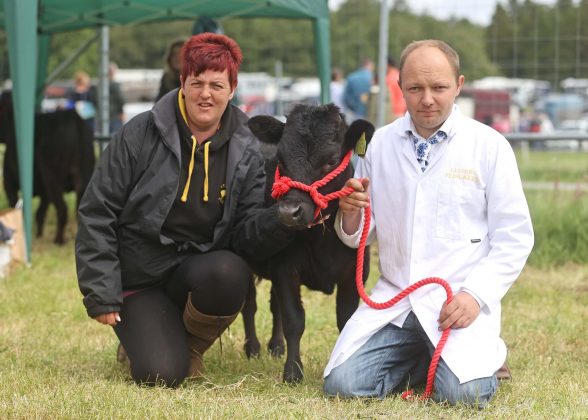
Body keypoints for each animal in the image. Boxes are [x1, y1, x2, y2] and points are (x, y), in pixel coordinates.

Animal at [0, 90, 95, 244]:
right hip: (83, 179)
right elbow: (40, 213)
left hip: (53, 178)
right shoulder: (44, 191)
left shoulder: (9, 181)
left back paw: (58, 240)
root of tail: (73, 118)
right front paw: (39, 235)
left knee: (62, 209)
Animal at [245, 104, 376, 384]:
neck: (321, 239)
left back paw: (276, 346)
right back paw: (253, 347)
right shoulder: (285, 268)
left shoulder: (353, 273)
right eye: (281, 160)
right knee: (250, 303)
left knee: (273, 305)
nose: (288, 212)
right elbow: (294, 319)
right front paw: (293, 372)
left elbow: (344, 319)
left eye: (332, 161)